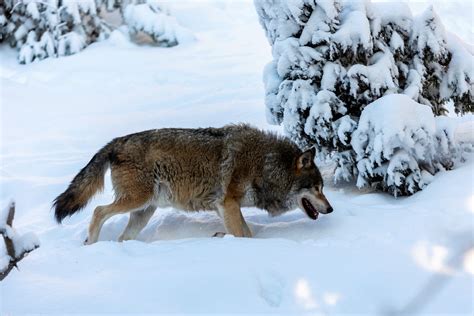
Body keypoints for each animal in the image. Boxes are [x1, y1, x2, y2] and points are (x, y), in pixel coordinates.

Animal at [52, 124, 334, 244]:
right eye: (317, 188)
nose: (331, 209)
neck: (266, 164)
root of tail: (116, 142)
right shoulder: (228, 203)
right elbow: (243, 235)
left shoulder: (225, 207)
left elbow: (245, 233)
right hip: (137, 201)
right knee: (98, 212)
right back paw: (91, 243)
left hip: (144, 210)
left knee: (123, 237)